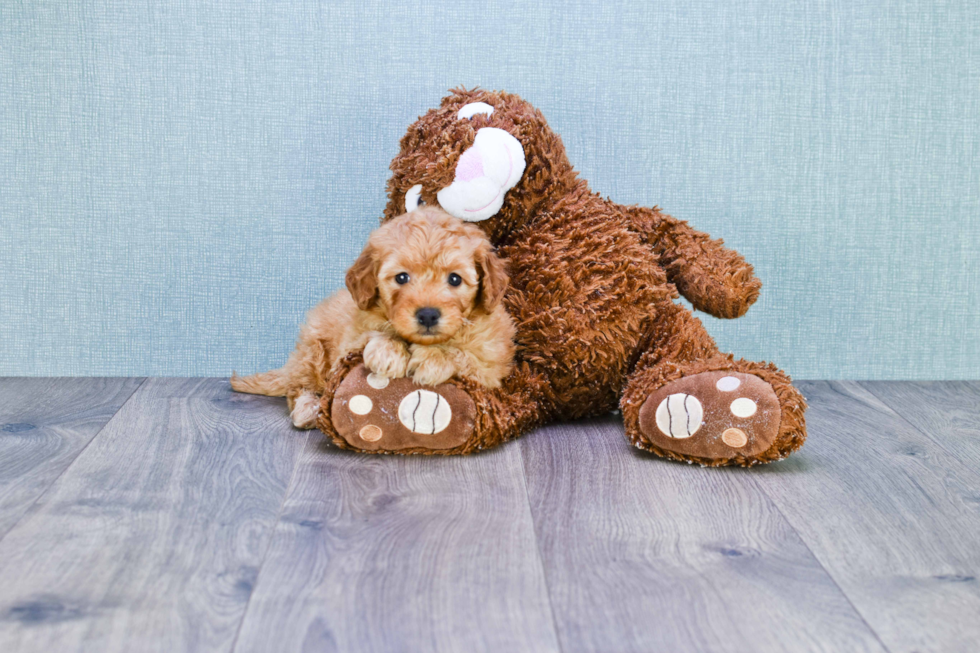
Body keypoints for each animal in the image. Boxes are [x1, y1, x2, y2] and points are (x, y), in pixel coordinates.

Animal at [231, 205, 516, 428]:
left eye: (455, 279)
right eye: (401, 277)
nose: (427, 315)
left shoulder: (492, 366)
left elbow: (465, 355)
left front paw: (434, 358)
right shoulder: (348, 343)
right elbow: (372, 335)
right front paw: (388, 351)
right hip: (313, 351)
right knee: (298, 387)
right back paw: (308, 408)